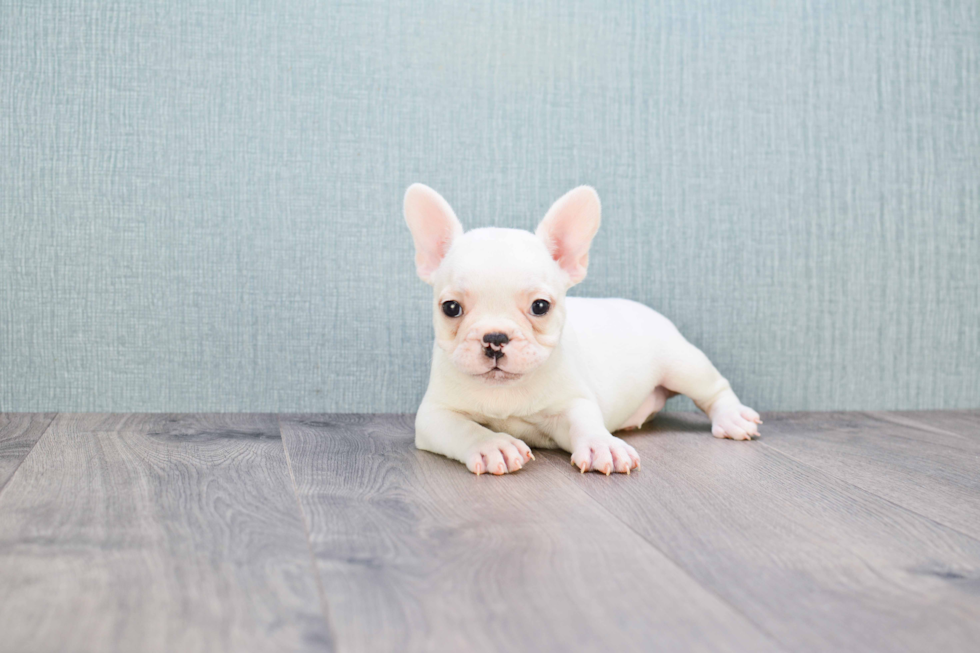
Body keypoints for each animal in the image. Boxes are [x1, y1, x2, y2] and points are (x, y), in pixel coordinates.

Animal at [402, 183, 760, 474]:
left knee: (714, 390)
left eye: (540, 306)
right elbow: (466, 428)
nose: (495, 338)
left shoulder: (574, 400)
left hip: (683, 364)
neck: (507, 392)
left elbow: (585, 421)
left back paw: (732, 416)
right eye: (451, 308)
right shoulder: (434, 415)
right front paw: (494, 445)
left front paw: (603, 445)